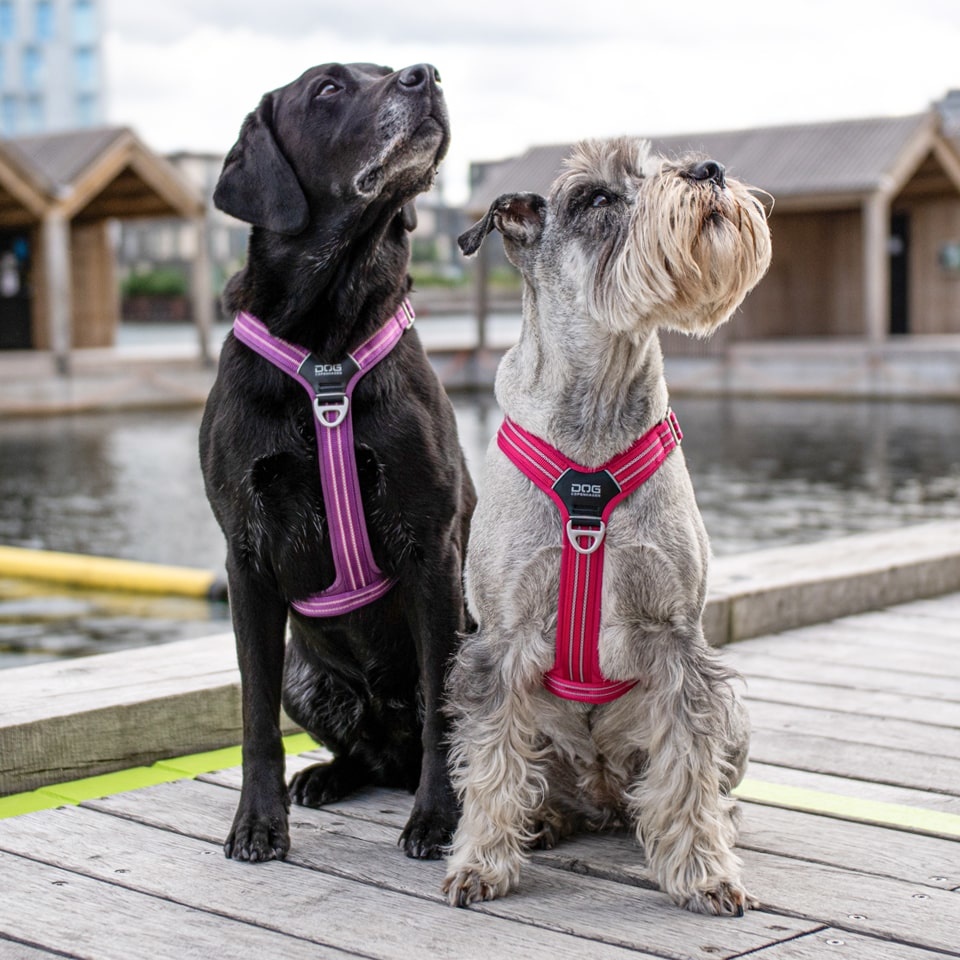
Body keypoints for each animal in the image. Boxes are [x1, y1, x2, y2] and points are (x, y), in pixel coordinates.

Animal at [200, 63, 476, 868]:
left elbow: (443, 714)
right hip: (305, 675)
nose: (426, 74)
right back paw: (325, 776)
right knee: (362, 753)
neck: (326, 337)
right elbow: (254, 716)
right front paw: (257, 824)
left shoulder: (431, 547)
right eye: (327, 89)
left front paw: (437, 820)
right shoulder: (246, 557)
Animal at [442, 135, 772, 916]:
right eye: (595, 197)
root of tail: (598, 794)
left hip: (734, 715)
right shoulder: (499, 643)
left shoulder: (679, 640)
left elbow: (686, 767)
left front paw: (704, 871)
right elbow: (491, 761)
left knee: (687, 783)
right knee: (536, 774)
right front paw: (480, 862)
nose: (710, 171)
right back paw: (546, 817)